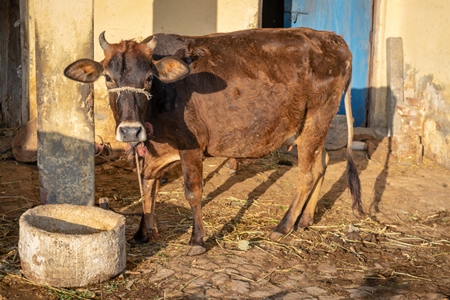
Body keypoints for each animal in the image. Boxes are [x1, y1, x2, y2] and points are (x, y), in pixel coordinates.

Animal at [64, 27, 362, 255]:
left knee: (307, 173)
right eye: (107, 77)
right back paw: (306, 219)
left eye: (148, 78)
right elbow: (148, 185)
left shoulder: (191, 146)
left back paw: (283, 225)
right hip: (311, 126)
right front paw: (143, 232)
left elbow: (192, 192)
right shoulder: (154, 150)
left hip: (316, 120)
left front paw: (197, 240)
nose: (129, 131)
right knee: (322, 163)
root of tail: (332, 39)